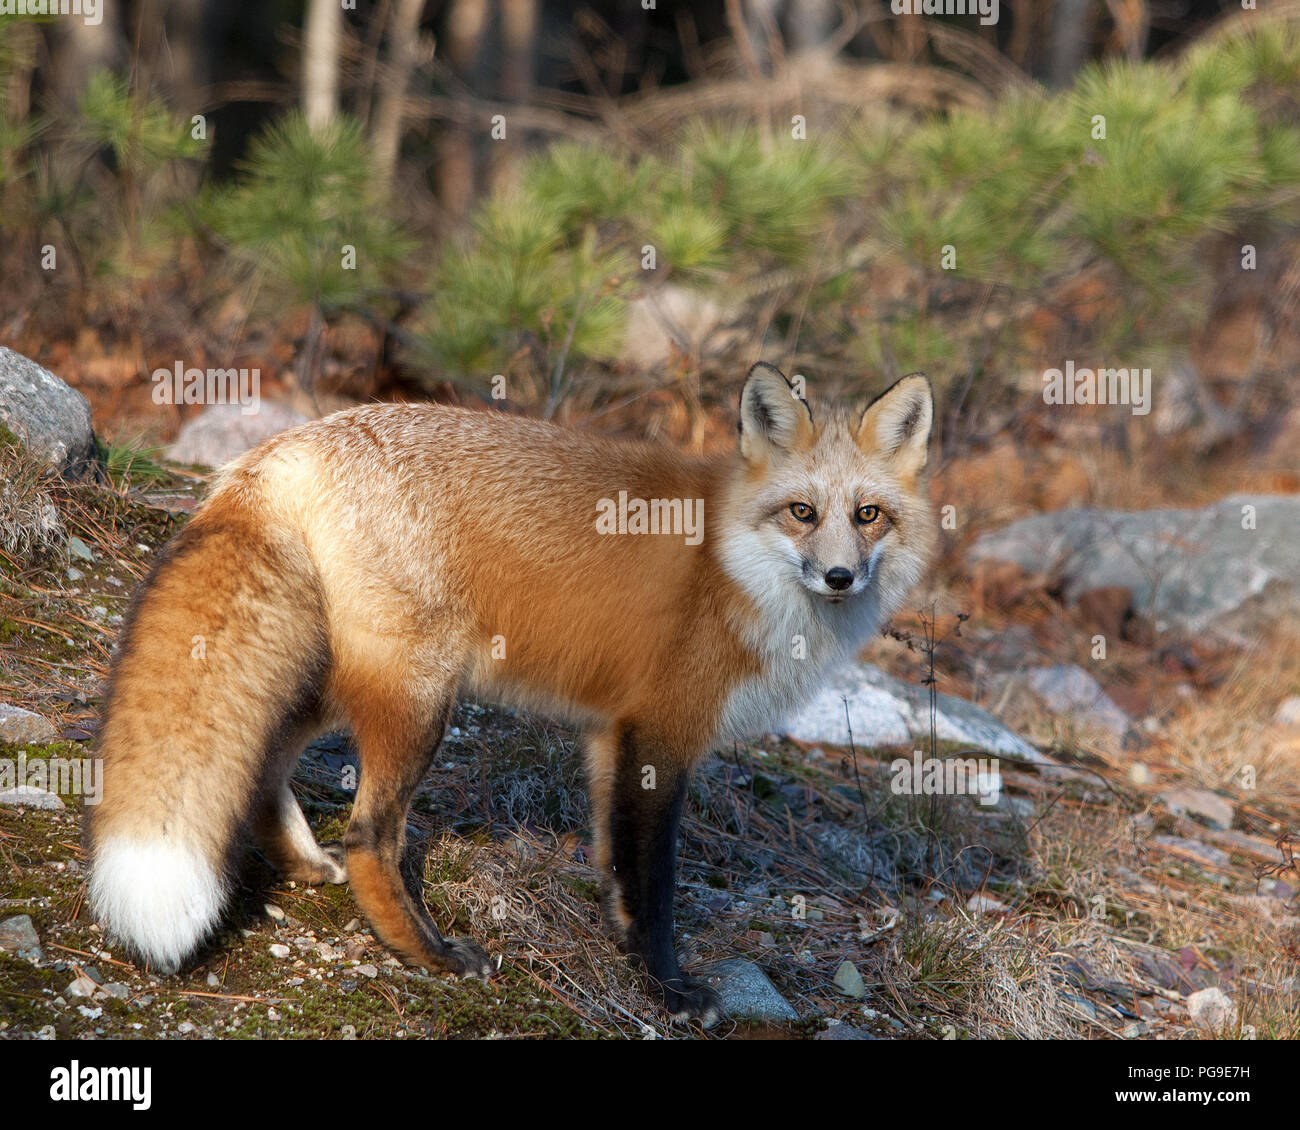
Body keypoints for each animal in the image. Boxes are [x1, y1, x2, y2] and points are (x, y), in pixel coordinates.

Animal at [89, 361, 935, 1024]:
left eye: (868, 515)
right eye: (802, 513)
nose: (840, 577)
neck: (729, 563)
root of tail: (287, 447)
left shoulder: (609, 734)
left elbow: (615, 868)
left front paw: (621, 949)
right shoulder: (660, 733)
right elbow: (655, 883)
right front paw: (668, 991)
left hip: (343, 676)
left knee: (265, 761)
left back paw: (303, 865)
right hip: (422, 696)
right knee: (369, 836)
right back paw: (428, 954)